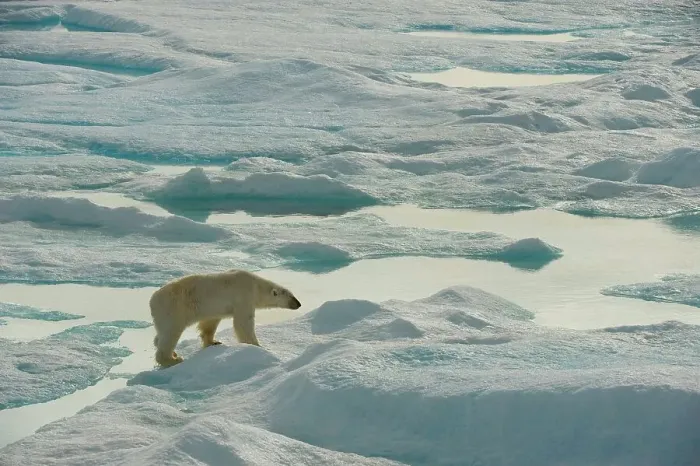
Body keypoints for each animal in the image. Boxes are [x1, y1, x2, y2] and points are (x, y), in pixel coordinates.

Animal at [149, 268, 301, 367]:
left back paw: (172, 352)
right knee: (171, 333)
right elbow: (243, 323)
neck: (255, 285)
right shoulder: (243, 296)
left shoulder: (215, 308)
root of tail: (152, 300)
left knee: (160, 335)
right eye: (290, 297)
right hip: (173, 309)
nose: (299, 304)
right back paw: (173, 359)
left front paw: (213, 342)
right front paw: (257, 346)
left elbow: (210, 322)